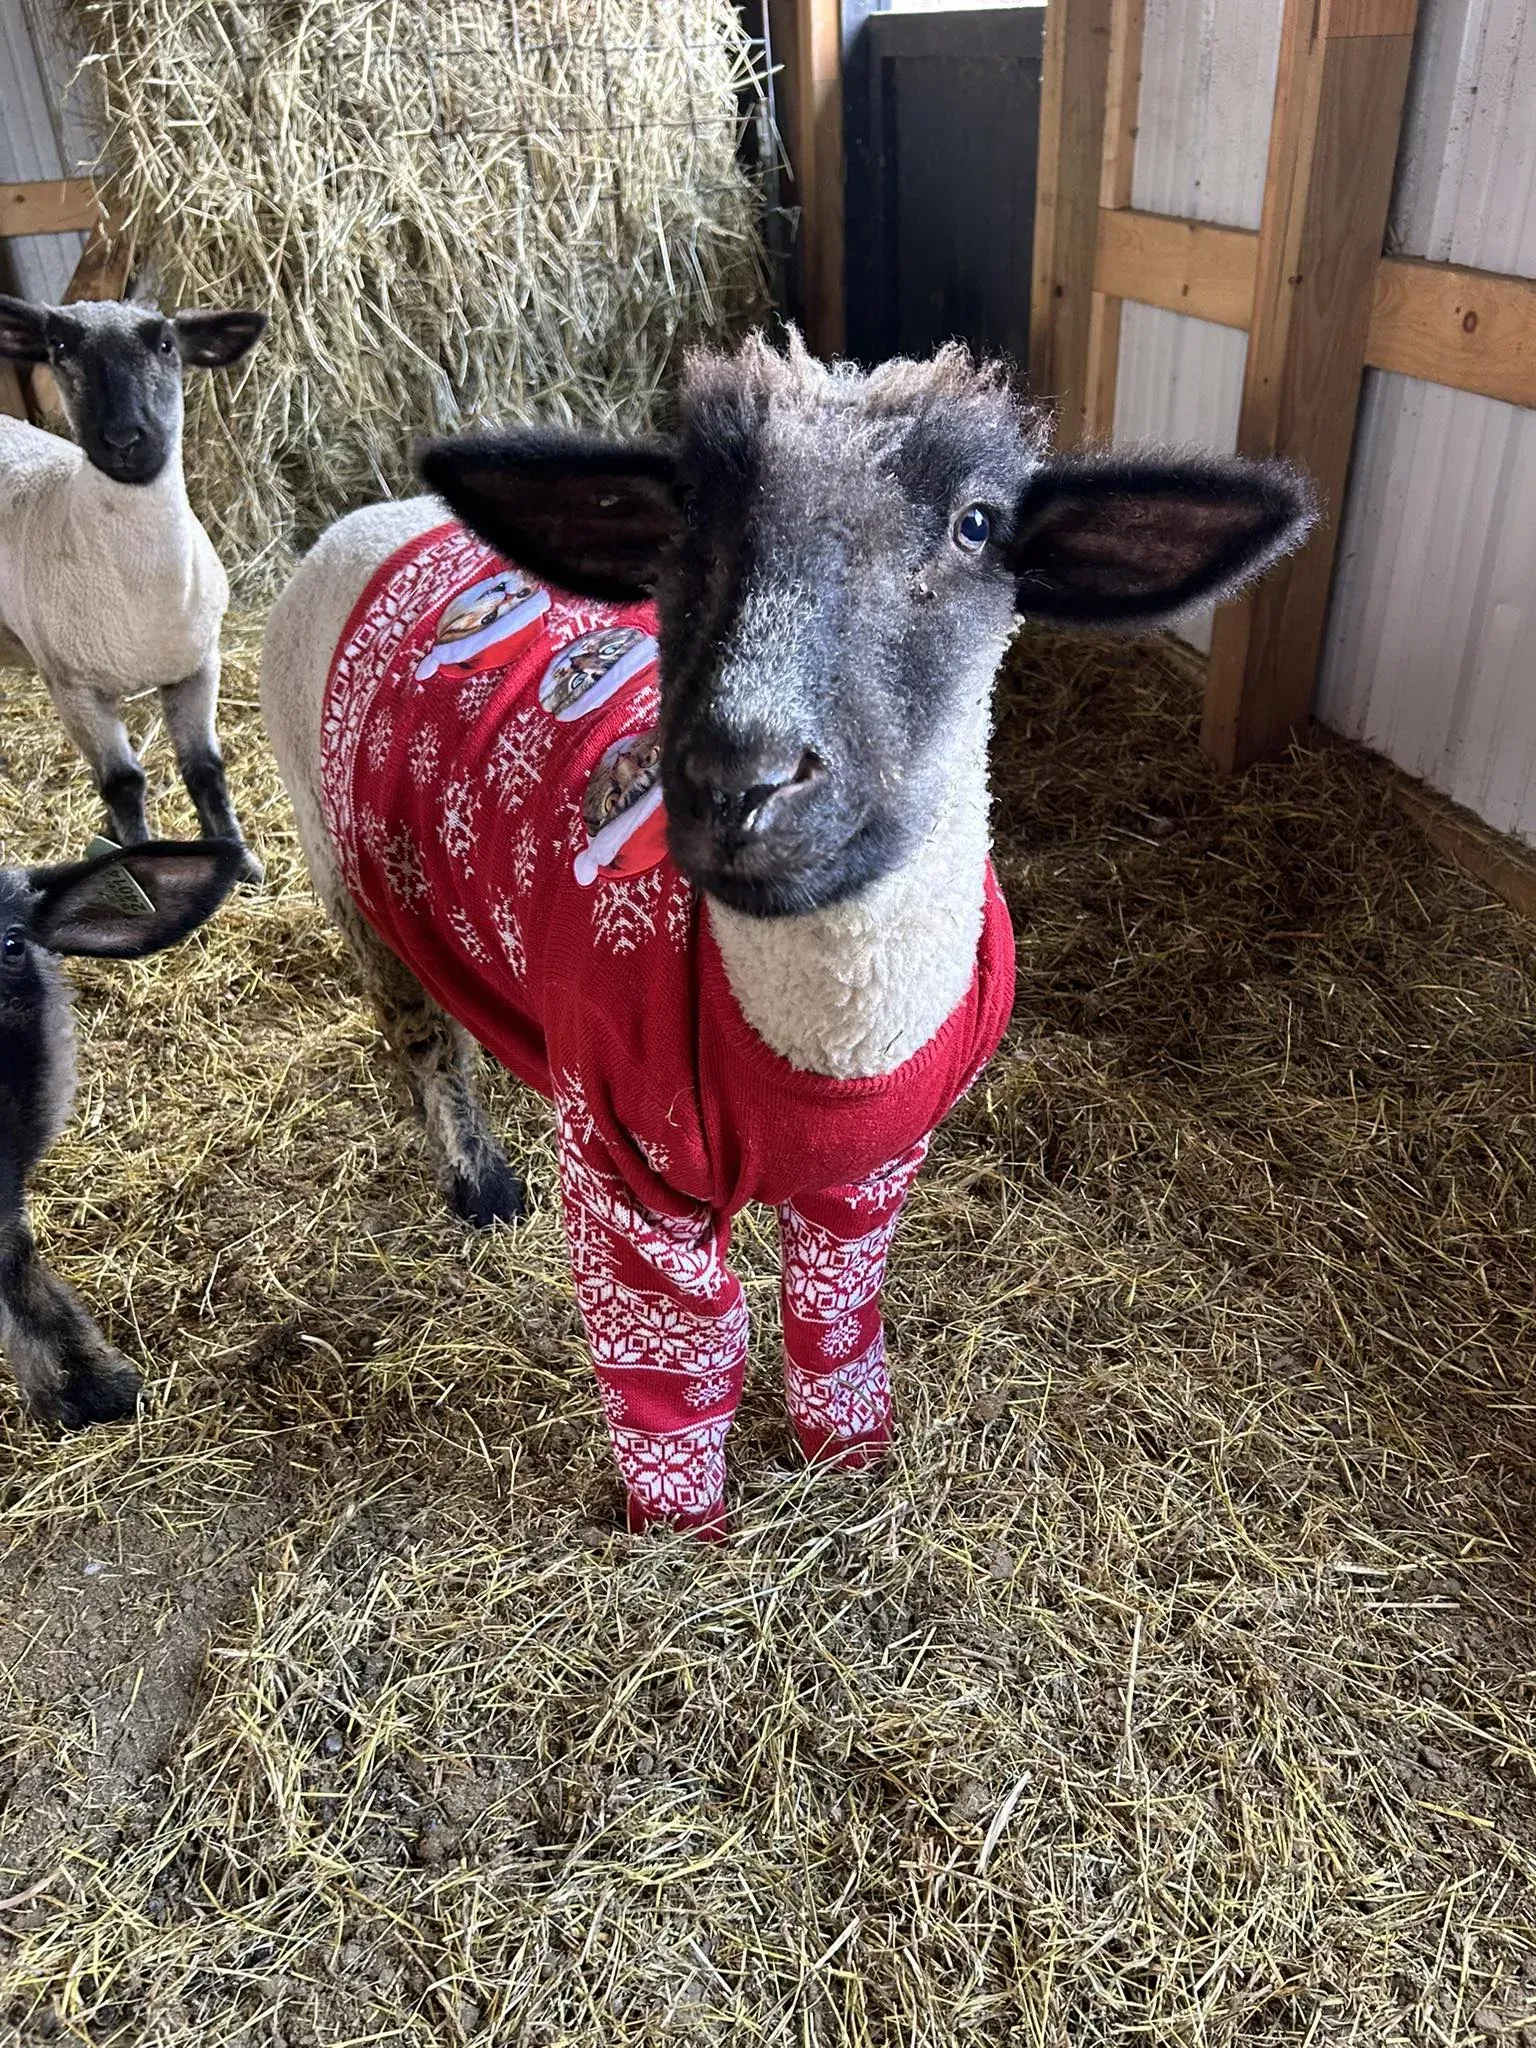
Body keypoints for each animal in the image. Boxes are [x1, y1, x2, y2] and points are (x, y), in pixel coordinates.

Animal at [0, 295, 268, 883]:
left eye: (167, 345)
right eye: (59, 346)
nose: (125, 441)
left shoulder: (197, 665)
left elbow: (205, 768)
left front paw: (242, 861)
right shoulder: (73, 688)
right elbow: (123, 783)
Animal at [261, 335, 1316, 1535]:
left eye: (977, 523)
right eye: (684, 514)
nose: (737, 778)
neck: (824, 1040)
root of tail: (380, 516)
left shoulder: (872, 1172)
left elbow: (832, 1314)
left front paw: (851, 1451)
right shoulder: (627, 1183)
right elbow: (685, 1353)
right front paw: (683, 1527)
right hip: (336, 855)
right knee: (416, 1031)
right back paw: (479, 1184)